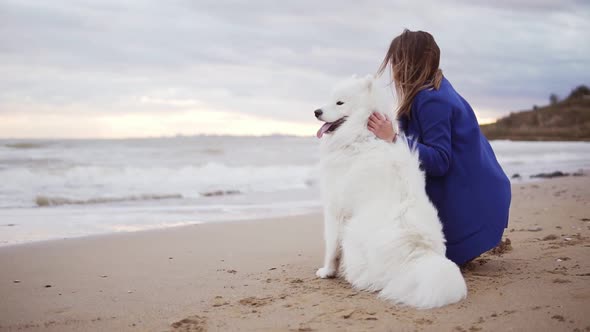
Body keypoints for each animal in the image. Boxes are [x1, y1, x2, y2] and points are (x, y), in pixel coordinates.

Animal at [314, 74, 468, 308]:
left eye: (339, 102)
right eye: (330, 99)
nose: (316, 112)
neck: (361, 135)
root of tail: (419, 252)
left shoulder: (335, 211)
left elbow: (331, 247)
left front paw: (327, 271)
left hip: (352, 233)